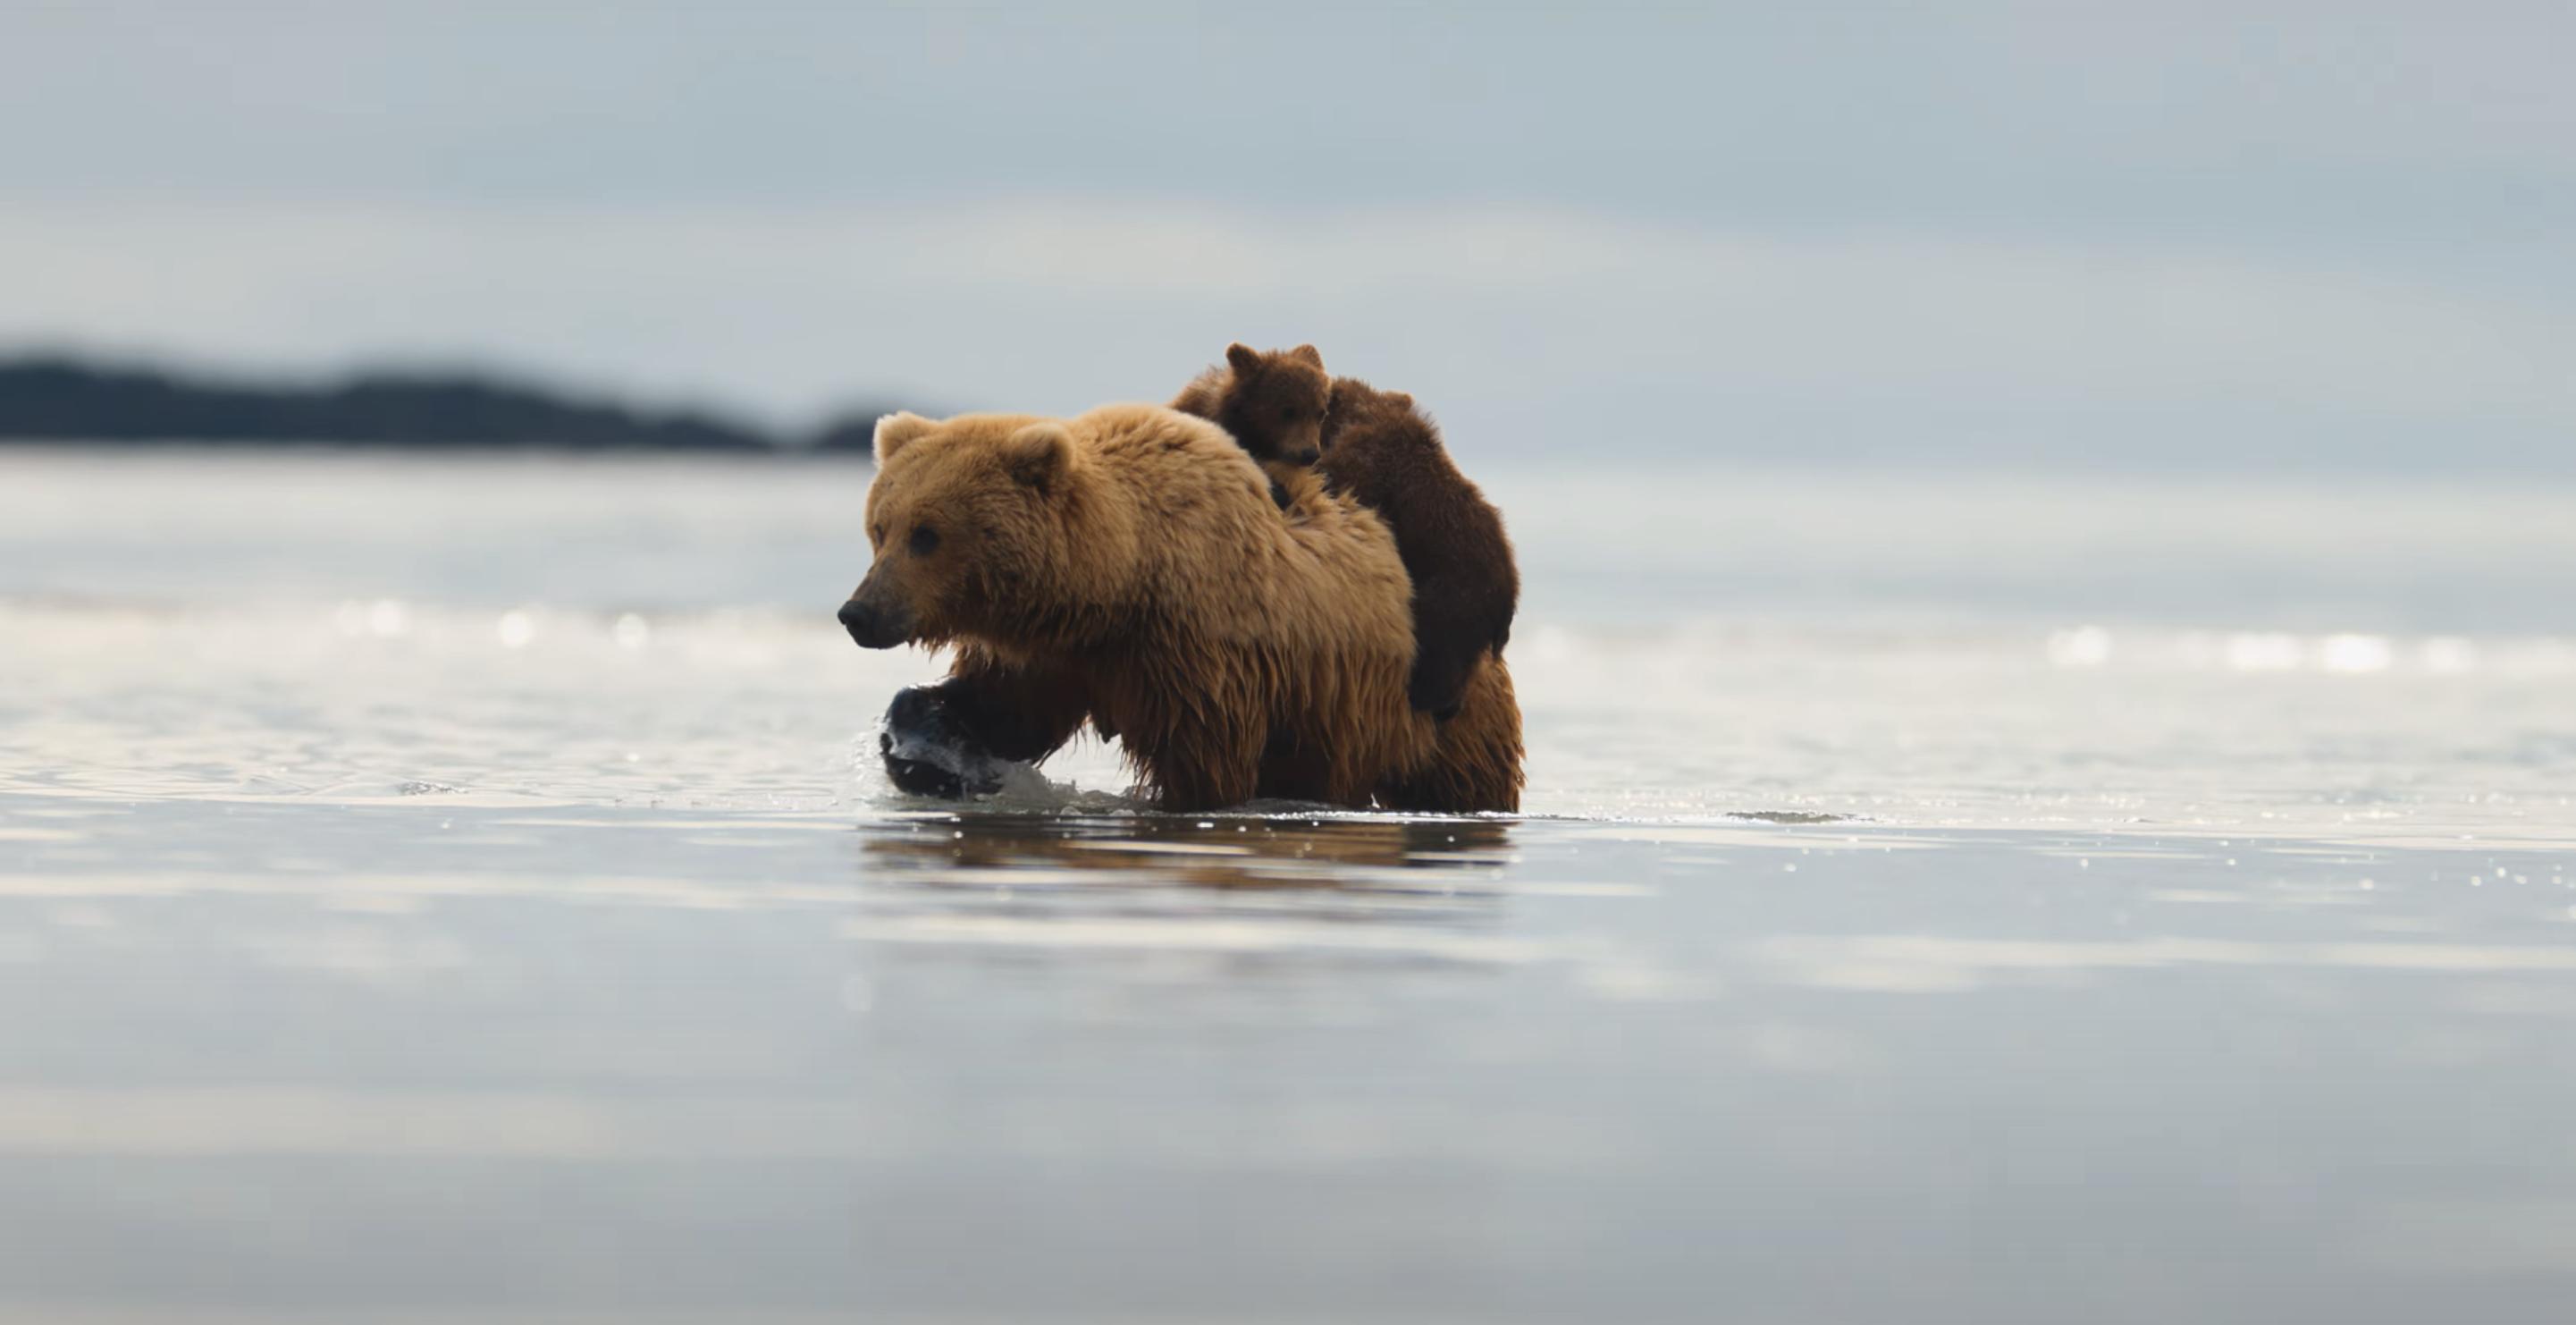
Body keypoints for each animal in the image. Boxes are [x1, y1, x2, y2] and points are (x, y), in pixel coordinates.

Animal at [838, 403, 1522, 814]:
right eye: (880, 528)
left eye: (928, 535)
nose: (858, 612)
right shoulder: (1054, 654)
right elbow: (1006, 712)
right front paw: (923, 742)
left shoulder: (1201, 655)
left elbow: (1206, 769)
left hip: (1434, 706)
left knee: (1463, 778)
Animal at [1171, 344, 1519, 721]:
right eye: (1290, 411)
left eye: (1317, 411)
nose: (1308, 452)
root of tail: (1510, 591)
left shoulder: (1370, 458)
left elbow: (1338, 481)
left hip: (1452, 593)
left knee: (1441, 657)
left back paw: (1428, 701)